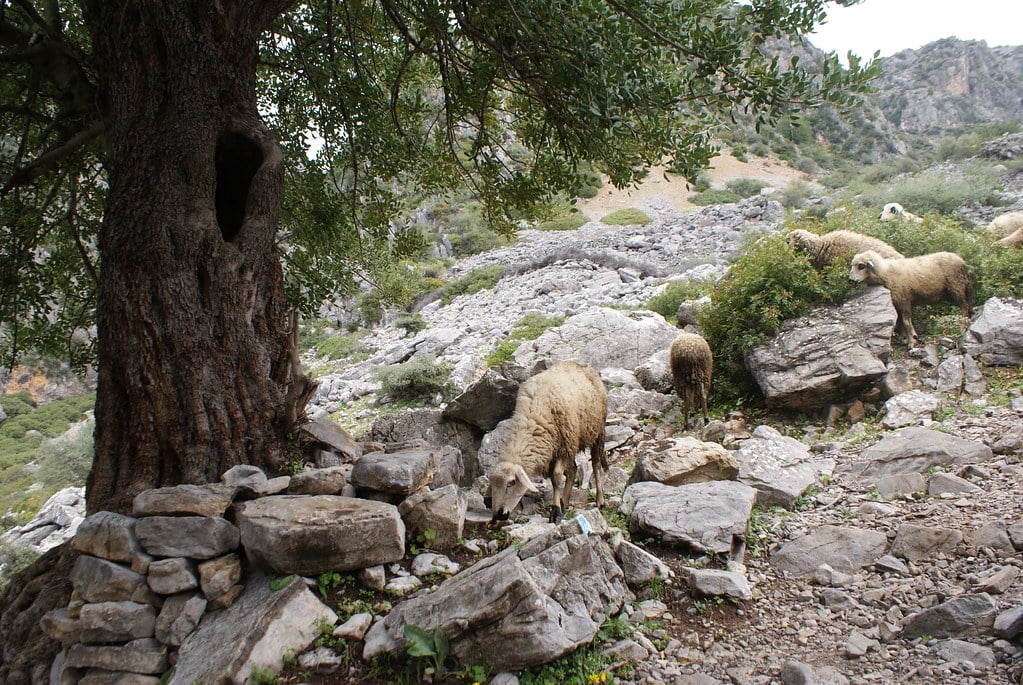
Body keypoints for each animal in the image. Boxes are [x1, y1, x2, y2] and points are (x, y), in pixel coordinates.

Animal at [487, 360, 608, 524]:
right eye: (493, 485)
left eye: (511, 483)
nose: (498, 515)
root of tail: (580, 364)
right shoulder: (554, 449)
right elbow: (554, 477)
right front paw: (559, 505)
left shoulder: (563, 447)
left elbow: (556, 477)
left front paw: (555, 511)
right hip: (573, 442)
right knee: (573, 469)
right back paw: (565, 501)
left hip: (596, 431)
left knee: (596, 465)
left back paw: (600, 501)